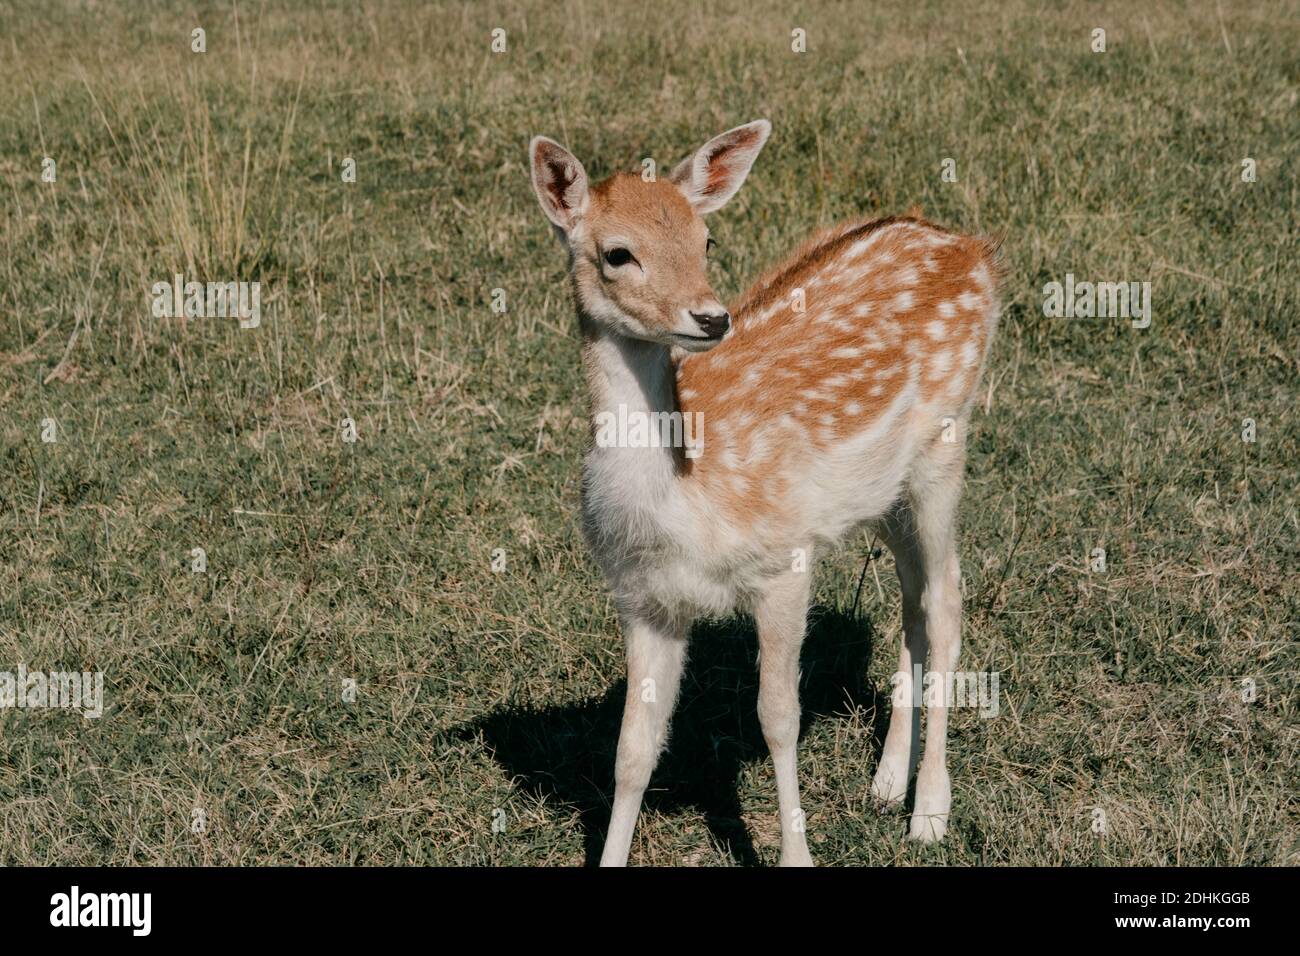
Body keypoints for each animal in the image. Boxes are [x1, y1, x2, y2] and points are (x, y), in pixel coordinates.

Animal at [527, 119, 1003, 868]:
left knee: (949, 596)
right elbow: (632, 751)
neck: (685, 499)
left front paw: (798, 855)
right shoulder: (642, 598)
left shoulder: (784, 561)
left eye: (706, 240)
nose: (711, 317)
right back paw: (886, 782)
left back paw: (928, 810)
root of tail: (968, 245)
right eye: (617, 253)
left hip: (945, 444)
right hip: (886, 491)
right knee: (914, 598)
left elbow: (778, 717)